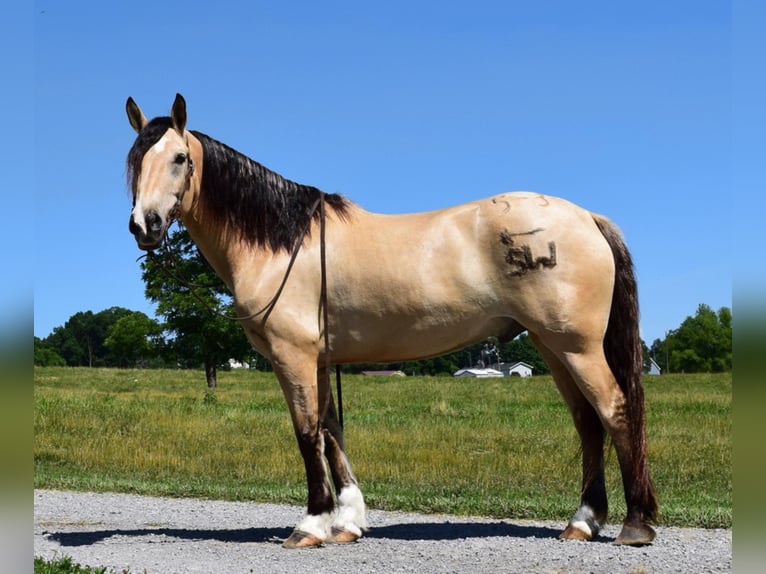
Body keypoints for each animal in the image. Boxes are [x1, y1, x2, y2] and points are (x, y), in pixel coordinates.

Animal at [123, 93, 656, 548]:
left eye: (179, 158)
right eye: (134, 159)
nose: (144, 224)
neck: (282, 242)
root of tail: (587, 217)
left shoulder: (292, 355)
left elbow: (306, 433)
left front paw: (311, 525)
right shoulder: (321, 359)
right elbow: (331, 432)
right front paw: (347, 523)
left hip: (576, 347)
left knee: (615, 411)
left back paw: (635, 525)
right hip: (552, 346)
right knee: (588, 423)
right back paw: (582, 522)